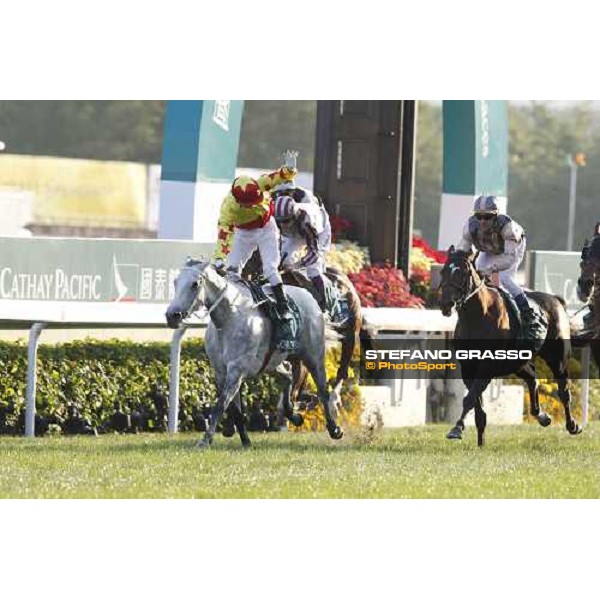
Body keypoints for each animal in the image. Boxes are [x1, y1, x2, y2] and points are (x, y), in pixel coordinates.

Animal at [165, 260, 342, 448]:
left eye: (195, 284)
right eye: (175, 282)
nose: (172, 315)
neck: (228, 319)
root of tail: (309, 297)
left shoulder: (237, 370)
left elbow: (220, 405)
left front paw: (205, 440)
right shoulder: (221, 371)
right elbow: (233, 408)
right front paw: (244, 440)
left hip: (313, 355)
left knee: (322, 390)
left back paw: (334, 428)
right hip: (271, 361)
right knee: (287, 374)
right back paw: (292, 415)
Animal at [438, 246, 584, 448]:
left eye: (463, 272)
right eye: (443, 271)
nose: (446, 304)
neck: (478, 317)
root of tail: (556, 299)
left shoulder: (488, 366)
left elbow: (470, 398)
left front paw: (457, 428)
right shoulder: (468, 367)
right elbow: (476, 404)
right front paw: (480, 441)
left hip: (558, 358)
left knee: (563, 391)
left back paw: (572, 425)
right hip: (517, 362)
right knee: (532, 378)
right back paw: (542, 416)